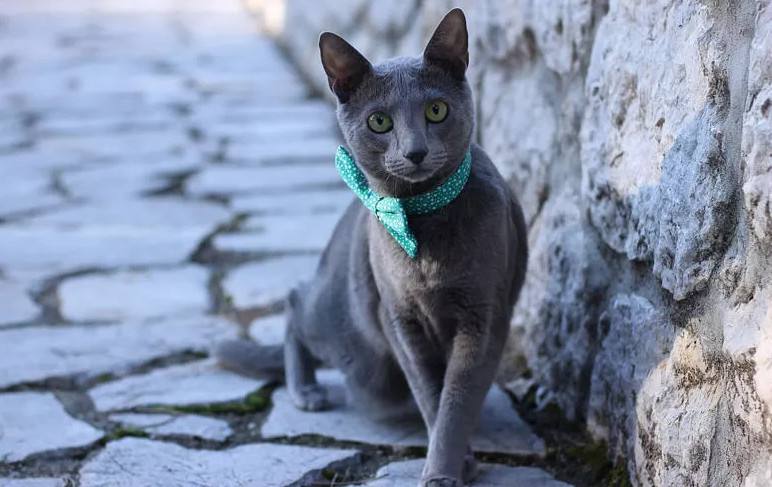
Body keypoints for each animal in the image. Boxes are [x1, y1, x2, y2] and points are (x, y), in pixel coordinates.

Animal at [217, 8, 532, 487]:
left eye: (436, 110)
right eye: (379, 121)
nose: (416, 151)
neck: (421, 222)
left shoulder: (485, 317)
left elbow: (457, 398)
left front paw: (447, 465)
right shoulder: (399, 319)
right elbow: (431, 393)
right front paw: (449, 466)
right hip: (350, 333)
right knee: (294, 302)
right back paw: (306, 389)